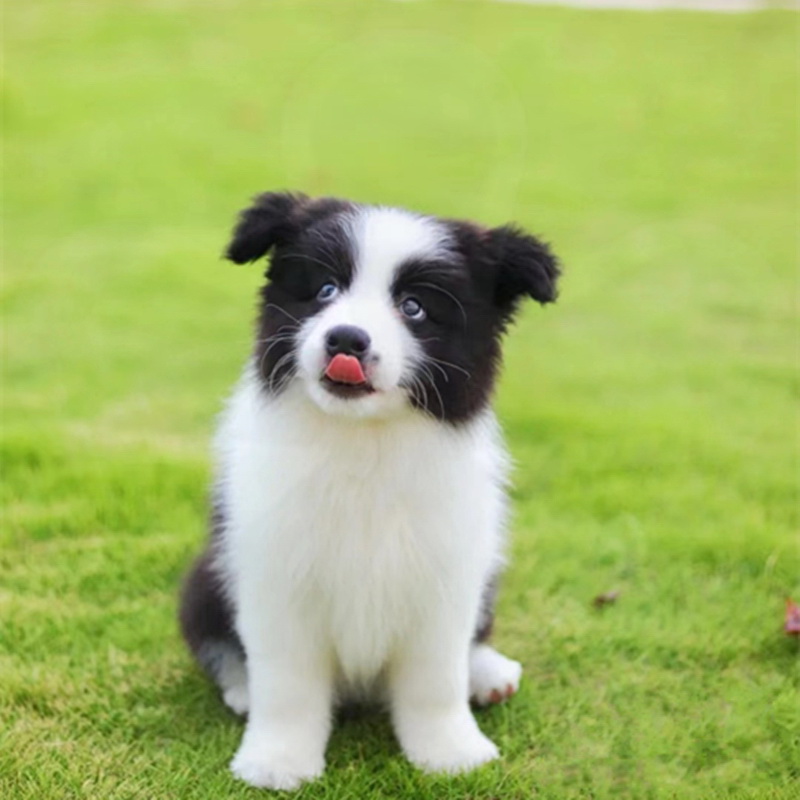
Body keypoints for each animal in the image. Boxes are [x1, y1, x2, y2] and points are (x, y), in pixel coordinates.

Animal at [179, 192, 560, 788]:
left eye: (414, 307)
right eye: (325, 290)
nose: (346, 339)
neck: (362, 441)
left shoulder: (445, 574)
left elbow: (435, 679)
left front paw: (450, 753)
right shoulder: (275, 574)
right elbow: (287, 684)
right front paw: (277, 762)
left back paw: (489, 673)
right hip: (205, 577)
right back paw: (242, 687)